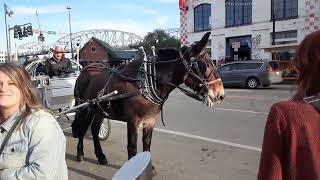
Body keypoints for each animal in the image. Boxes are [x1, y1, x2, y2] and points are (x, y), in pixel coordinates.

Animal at [72, 32, 225, 173]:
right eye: (205, 64)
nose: (220, 93)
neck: (145, 83)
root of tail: (83, 71)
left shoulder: (150, 121)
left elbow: (147, 145)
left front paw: (149, 169)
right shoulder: (133, 122)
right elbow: (132, 148)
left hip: (99, 110)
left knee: (94, 129)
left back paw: (101, 156)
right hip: (85, 108)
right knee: (82, 128)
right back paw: (80, 154)